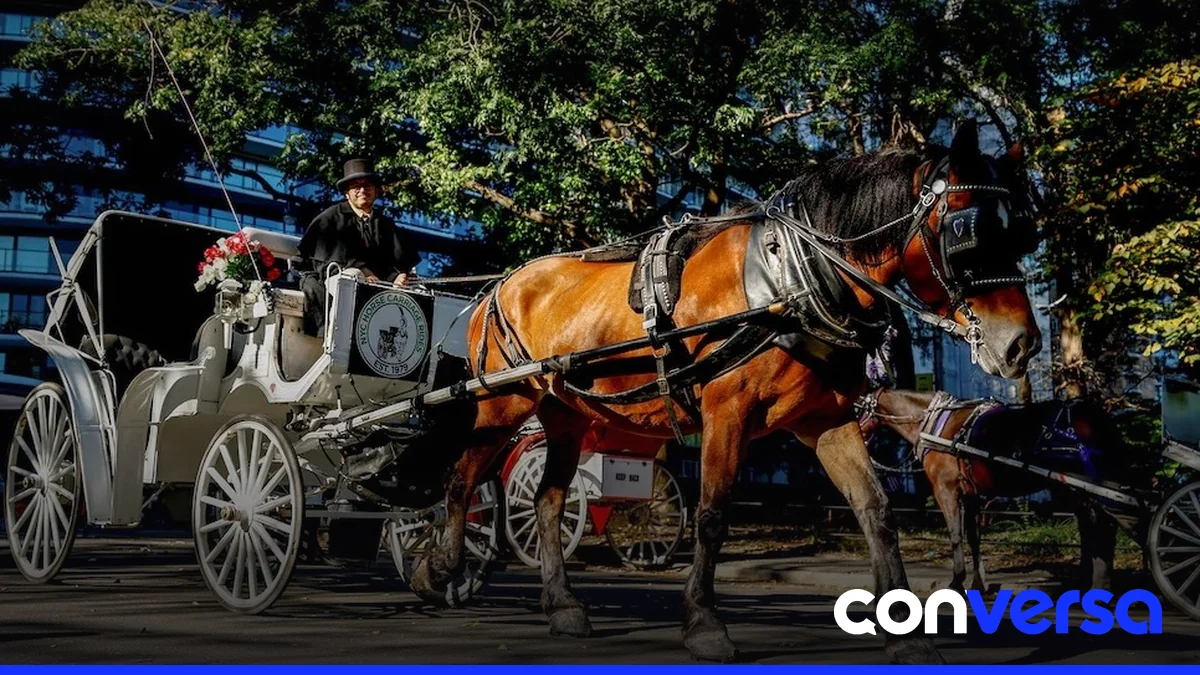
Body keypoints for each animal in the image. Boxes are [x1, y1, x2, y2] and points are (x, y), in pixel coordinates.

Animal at [410, 120, 1042, 664]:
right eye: (967, 233)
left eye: (1022, 231)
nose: (1022, 345)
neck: (791, 278)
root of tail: (496, 286)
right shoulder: (726, 412)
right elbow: (713, 514)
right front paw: (704, 623)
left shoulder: (824, 420)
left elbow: (876, 511)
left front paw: (906, 637)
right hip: (501, 401)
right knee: (463, 478)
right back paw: (438, 568)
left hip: (565, 413)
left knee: (546, 500)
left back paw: (562, 604)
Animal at [857, 388, 1130, 594]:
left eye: (858, 409)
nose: (855, 433)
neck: (936, 425)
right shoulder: (972, 495)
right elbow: (974, 538)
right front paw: (978, 583)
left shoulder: (946, 491)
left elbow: (955, 535)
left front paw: (956, 581)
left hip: (1076, 486)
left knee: (1097, 527)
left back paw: (1097, 584)